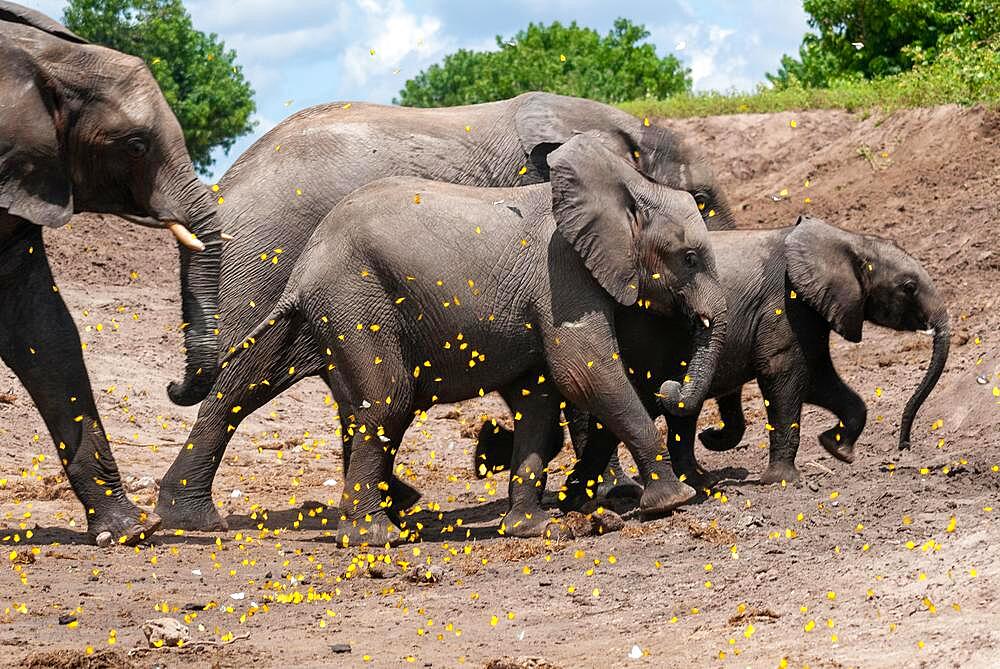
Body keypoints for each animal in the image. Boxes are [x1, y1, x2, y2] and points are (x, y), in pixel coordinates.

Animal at [156, 88, 736, 528]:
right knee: (245, 382)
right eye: (703, 200)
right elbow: (579, 371)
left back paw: (396, 505)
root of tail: (222, 187)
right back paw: (199, 519)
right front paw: (619, 492)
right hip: (265, 261)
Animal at [476, 214, 952, 496]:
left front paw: (838, 450)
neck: (846, 239)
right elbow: (785, 376)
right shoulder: (784, 304)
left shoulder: (809, 311)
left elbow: (820, 379)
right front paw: (783, 481)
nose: (904, 447)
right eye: (909, 286)